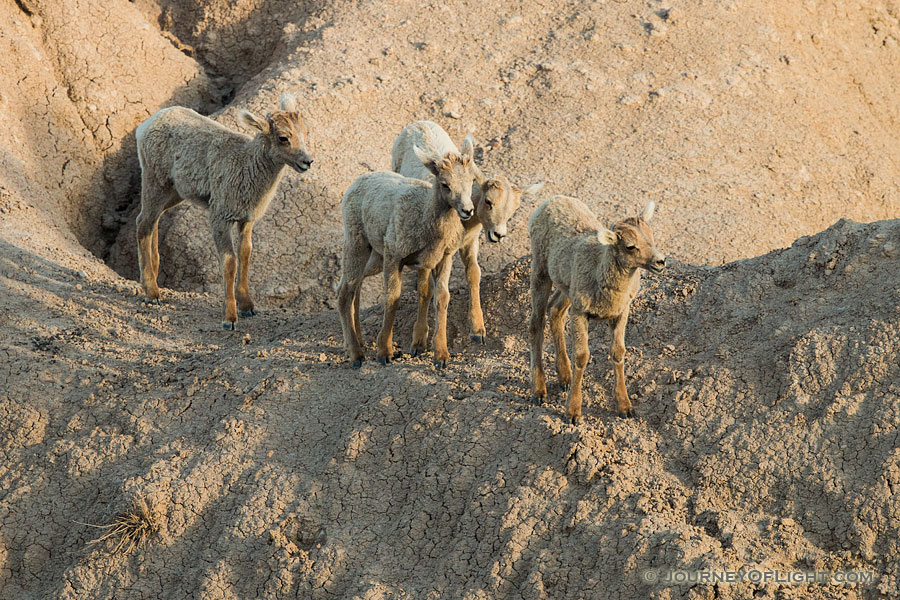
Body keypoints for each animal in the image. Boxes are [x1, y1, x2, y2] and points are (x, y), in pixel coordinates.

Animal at [134, 92, 312, 330]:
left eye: (305, 131)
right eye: (283, 137)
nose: (307, 161)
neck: (245, 166)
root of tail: (145, 126)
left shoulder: (246, 219)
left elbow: (245, 254)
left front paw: (248, 307)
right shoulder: (220, 217)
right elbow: (229, 262)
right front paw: (230, 319)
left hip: (174, 192)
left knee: (151, 221)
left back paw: (152, 276)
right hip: (155, 181)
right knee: (143, 223)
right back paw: (152, 293)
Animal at [338, 144, 478, 370]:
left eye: (472, 180)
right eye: (445, 184)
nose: (467, 211)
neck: (424, 216)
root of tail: (359, 180)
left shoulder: (442, 259)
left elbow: (440, 297)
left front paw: (440, 355)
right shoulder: (394, 255)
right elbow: (393, 298)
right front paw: (384, 352)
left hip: (375, 255)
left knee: (353, 285)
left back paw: (356, 341)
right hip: (356, 242)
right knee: (344, 292)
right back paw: (356, 355)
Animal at [388, 120, 540, 346]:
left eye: (513, 209)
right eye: (488, 202)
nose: (498, 235)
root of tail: (419, 123)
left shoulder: (471, 241)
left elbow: (474, 274)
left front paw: (478, 330)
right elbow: (432, 289)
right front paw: (422, 338)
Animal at [528, 196, 660, 422]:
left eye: (651, 236)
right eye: (630, 246)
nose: (661, 261)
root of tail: (551, 201)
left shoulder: (620, 313)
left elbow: (618, 352)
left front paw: (625, 407)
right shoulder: (580, 314)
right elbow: (581, 356)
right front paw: (573, 412)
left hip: (567, 287)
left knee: (555, 310)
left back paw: (564, 378)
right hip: (541, 271)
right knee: (536, 324)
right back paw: (539, 391)